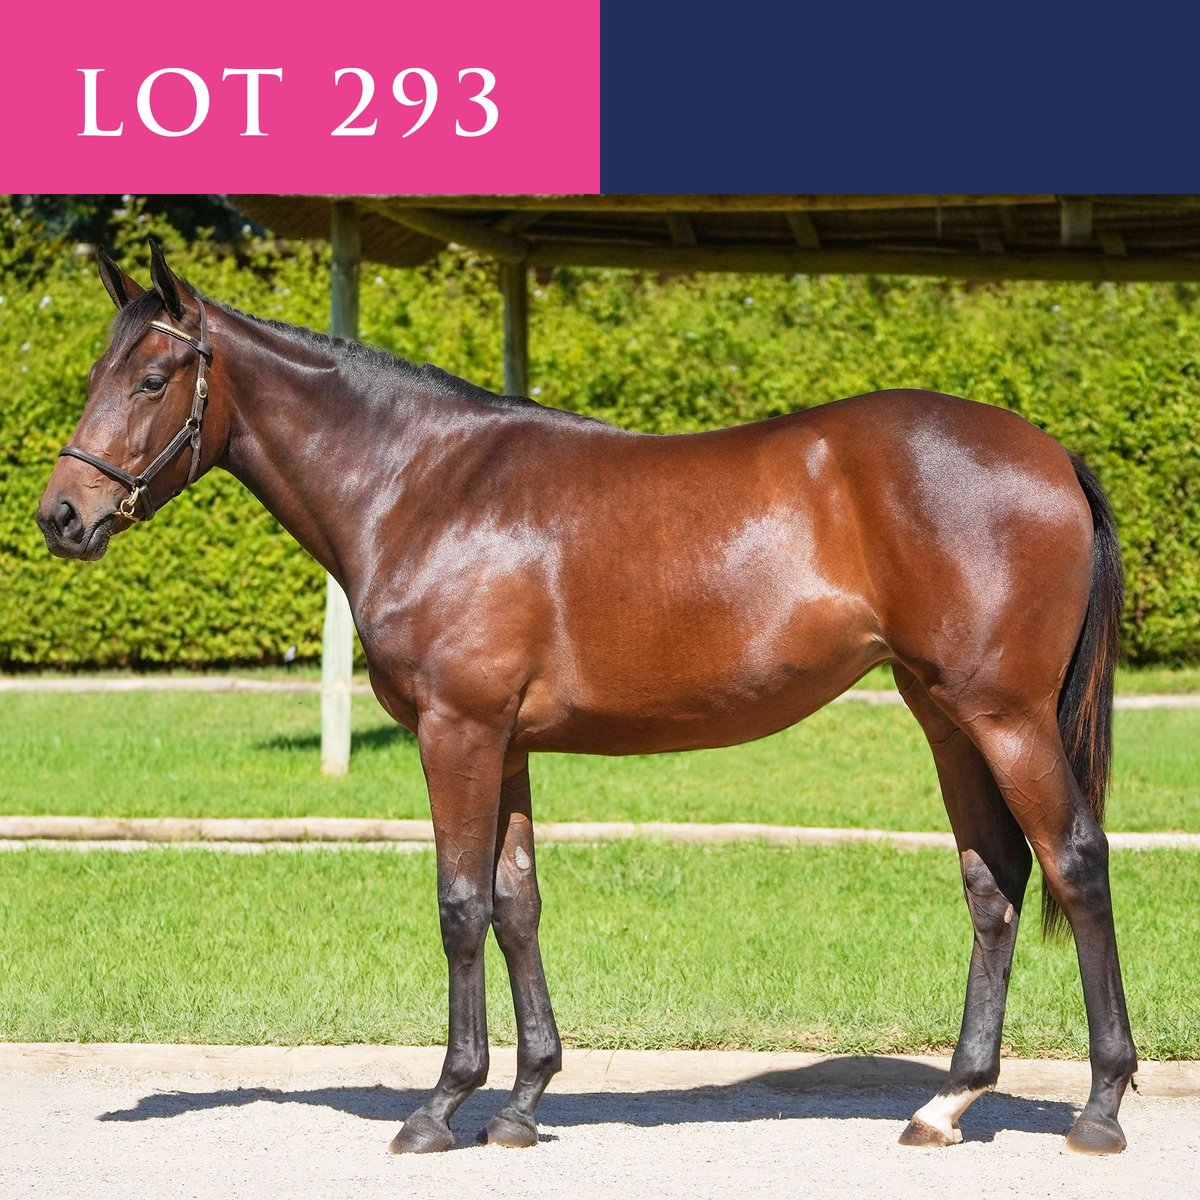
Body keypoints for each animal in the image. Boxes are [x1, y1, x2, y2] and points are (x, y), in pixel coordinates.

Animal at [37, 242, 1137, 1156]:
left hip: (1006, 718)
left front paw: (441, 1106)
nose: (62, 516)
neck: (422, 484)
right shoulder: (508, 743)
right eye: (96, 375)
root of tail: (1050, 453)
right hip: (945, 717)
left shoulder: (457, 732)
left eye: (151, 378)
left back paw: (1099, 1107)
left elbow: (460, 905)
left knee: (1075, 863)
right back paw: (947, 1104)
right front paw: (522, 1102)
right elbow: (517, 905)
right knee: (994, 881)